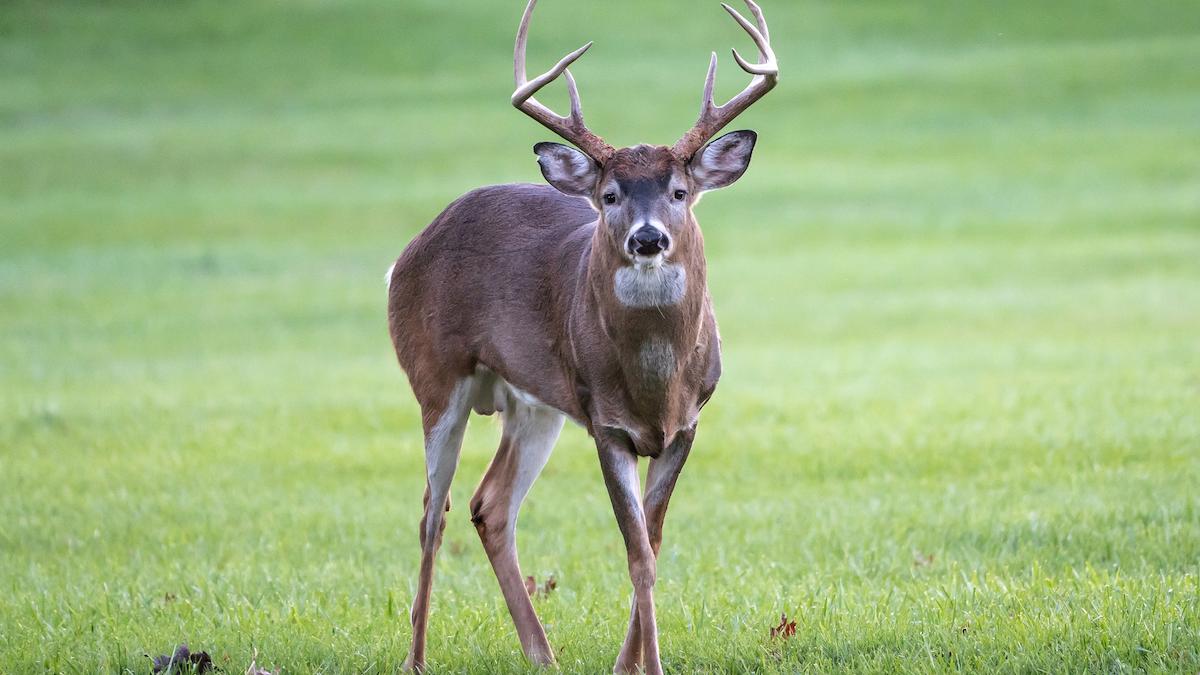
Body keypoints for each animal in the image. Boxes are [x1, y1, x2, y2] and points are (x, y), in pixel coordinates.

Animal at [386, 0, 777, 667]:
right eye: (610, 194)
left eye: (680, 191)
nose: (647, 238)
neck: (656, 385)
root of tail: (410, 249)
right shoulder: (605, 422)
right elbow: (638, 554)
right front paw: (651, 666)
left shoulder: (687, 424)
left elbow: (654, 542)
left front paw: (628, 663)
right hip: (435, 377)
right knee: (431, 514)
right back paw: (416, 658)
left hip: (534, 403)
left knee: (490, 506)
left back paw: (542, 653)